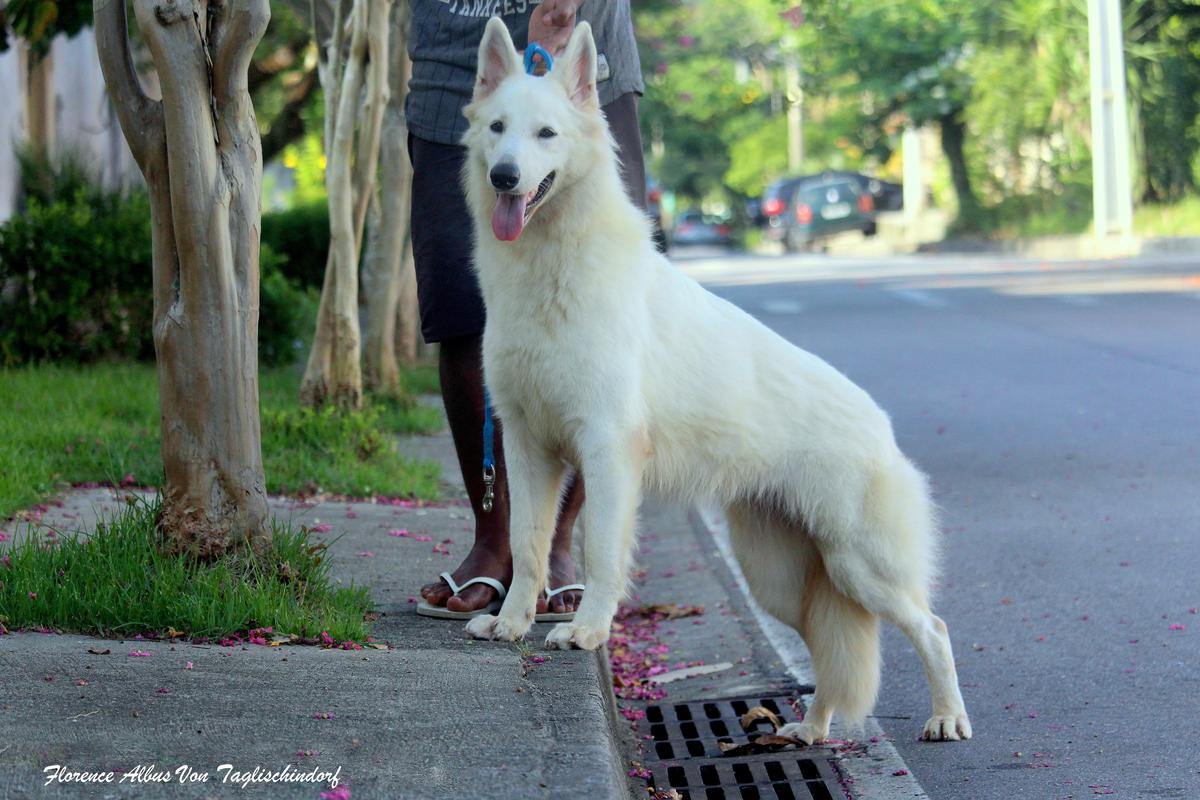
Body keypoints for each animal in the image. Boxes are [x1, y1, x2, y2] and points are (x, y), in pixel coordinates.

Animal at [458, 18, 974, 743]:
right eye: (498, 128)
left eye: (546, 135)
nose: (504, 176)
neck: (549, 269)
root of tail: (881, 425)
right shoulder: (526, 446)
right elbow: (526, 548)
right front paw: (511, 625)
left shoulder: (606, 451)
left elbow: (599, 556)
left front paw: (586, 631)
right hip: (780, 580)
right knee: (828, 648)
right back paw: (810, 730)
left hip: (861, 567)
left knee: (934, 627)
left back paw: (946, 717)